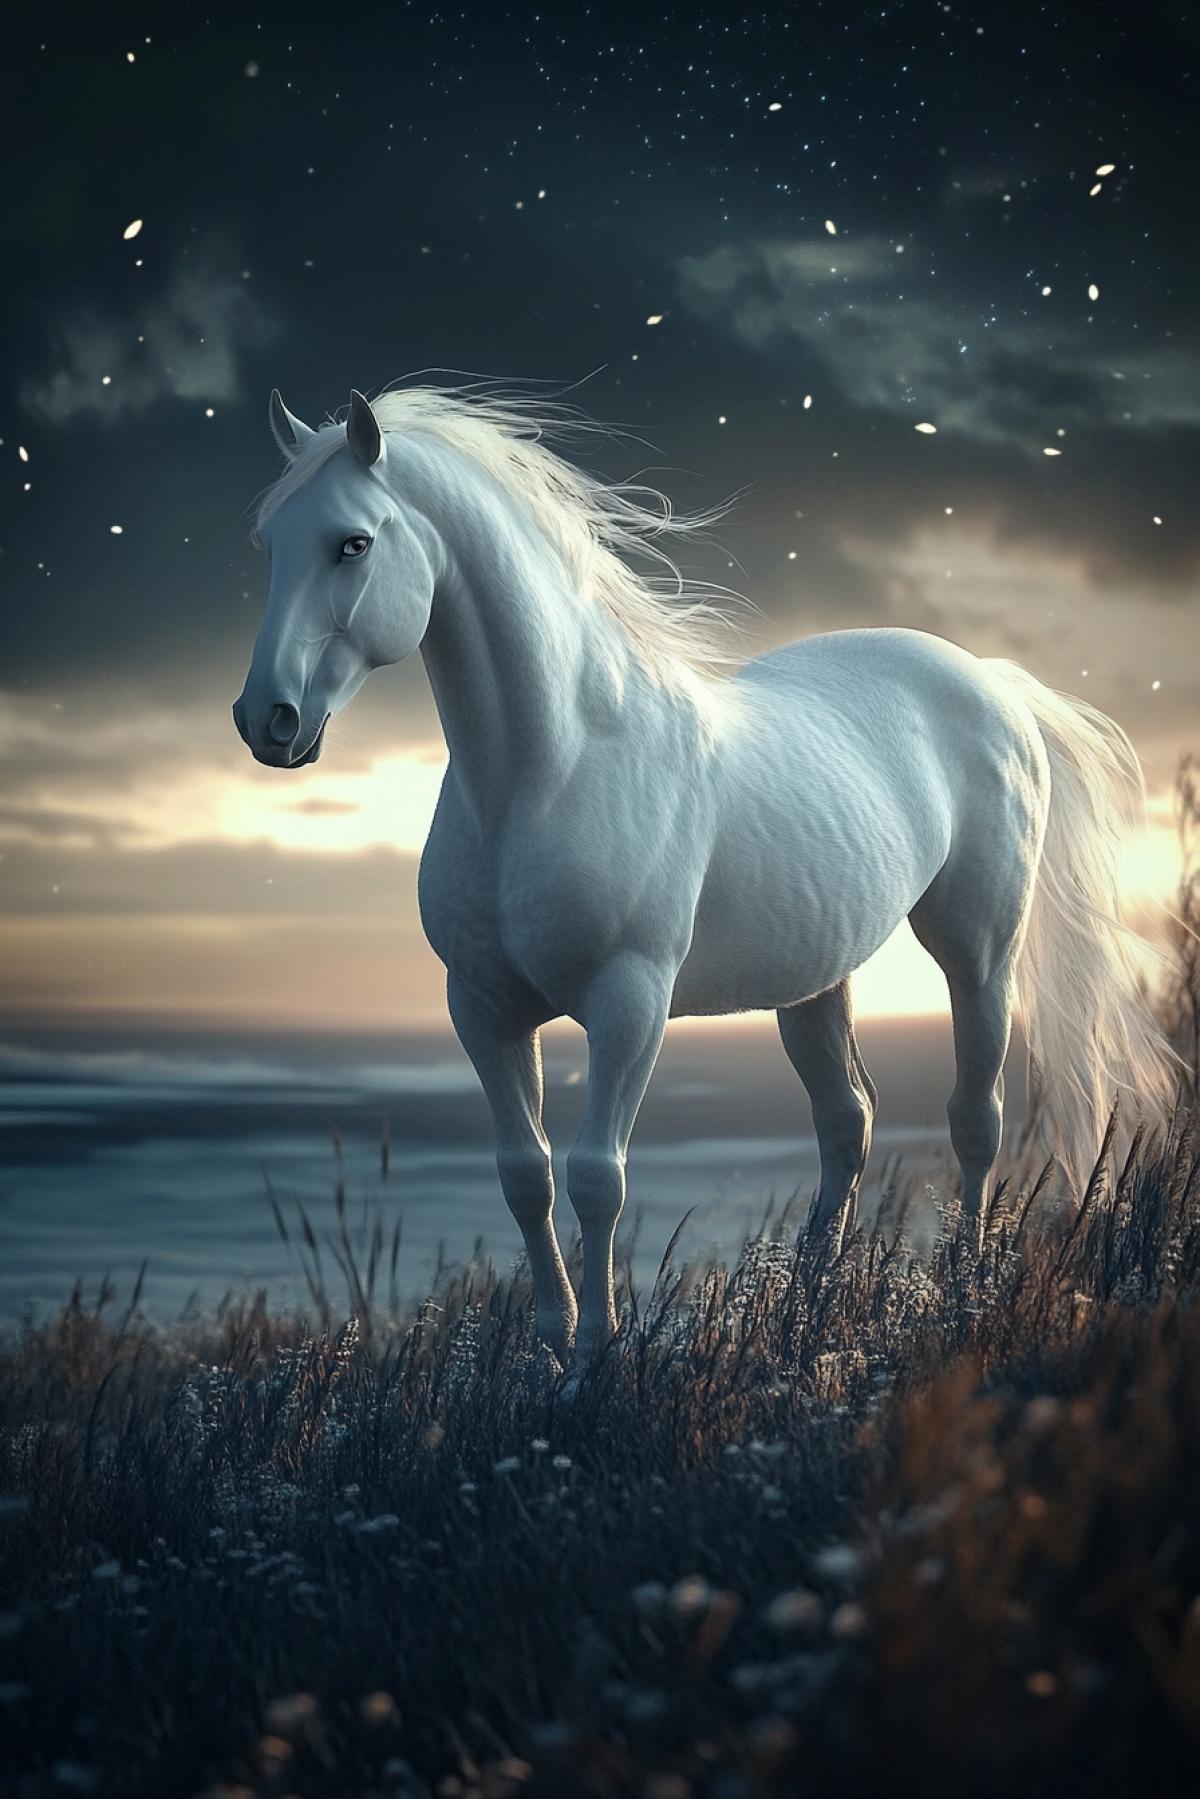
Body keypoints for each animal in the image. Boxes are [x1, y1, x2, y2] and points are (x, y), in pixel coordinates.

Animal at [233, 381, 1174, 1368]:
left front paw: (594, 1364)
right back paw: (806, 1309)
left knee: (975, 1115)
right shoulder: (482, 1007)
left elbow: (597, 1177)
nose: (268, 719)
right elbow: (525, 1174)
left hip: (979, 953)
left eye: (353, 542)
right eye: (269, 542)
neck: (550, 772)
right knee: (847, 1122)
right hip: (817, 979)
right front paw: (549, 1351)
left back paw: (964, 1288)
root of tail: (992, 680)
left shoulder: (630, 1001)